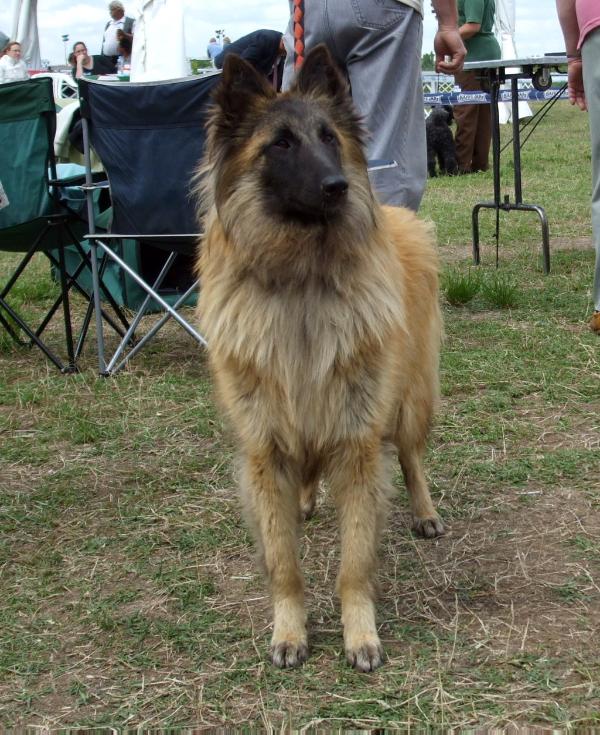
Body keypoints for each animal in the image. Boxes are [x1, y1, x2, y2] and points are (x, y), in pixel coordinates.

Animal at [195, 44, 442, 672]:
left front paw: (360, 634)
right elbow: (283, 561)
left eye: (330, 138)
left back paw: (424, 511)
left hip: (409, 401)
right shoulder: (265, 447)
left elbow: (355, 559)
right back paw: (307, 500)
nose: (338, 187)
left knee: (411, 457)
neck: (301, 283)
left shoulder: (357, 442)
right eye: (280, 144)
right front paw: (289, 631)